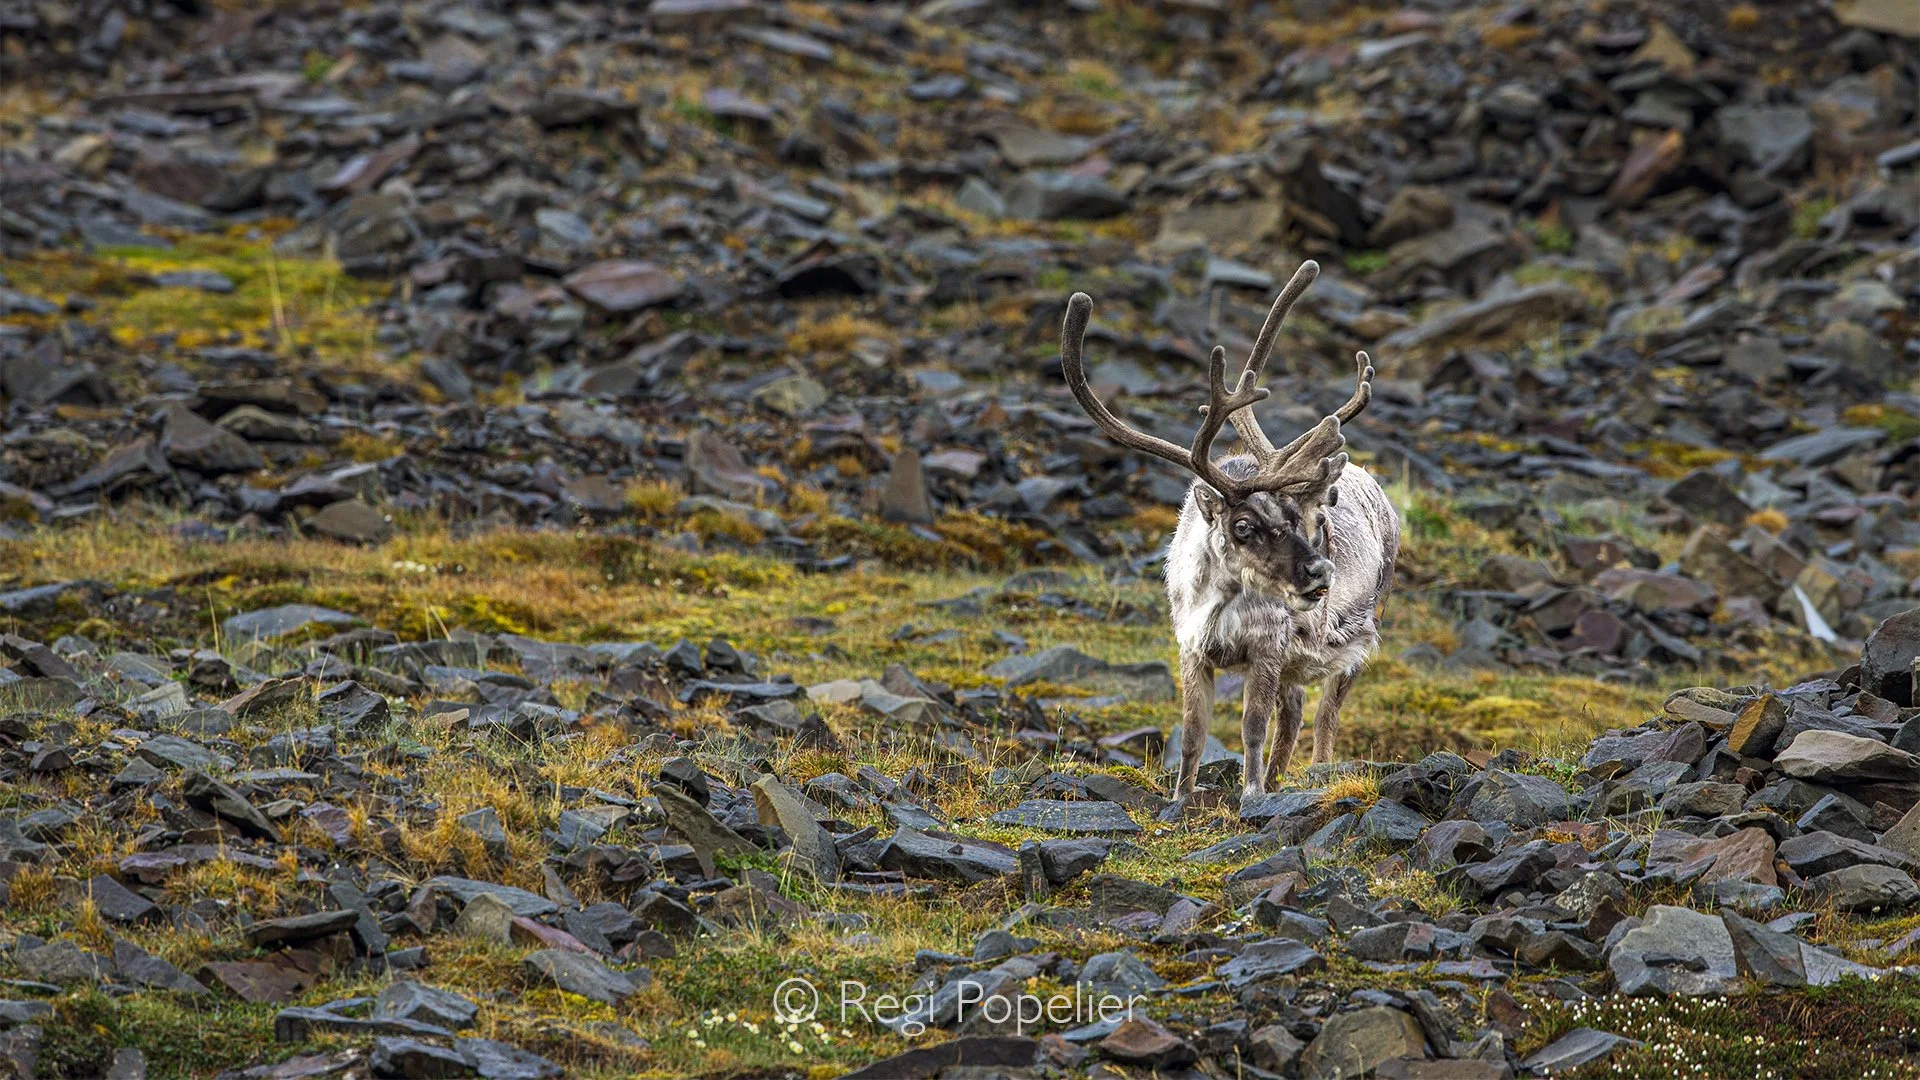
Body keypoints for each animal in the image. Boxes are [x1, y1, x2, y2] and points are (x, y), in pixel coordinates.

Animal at [1060, 260, 1399, 821]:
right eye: (1243, 526)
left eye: (1299, 516)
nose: (1321, 572)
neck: (1216, 599)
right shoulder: (1191, 650)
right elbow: (1193, 732)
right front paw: (1179, 799)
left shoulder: (1265, 650)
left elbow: (1252, 728)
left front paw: (1251, 794)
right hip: (1294, 663)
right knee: (1296, 709)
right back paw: (1281, 779)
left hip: (1360, 636)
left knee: (1326, 716)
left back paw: (1313, 776)